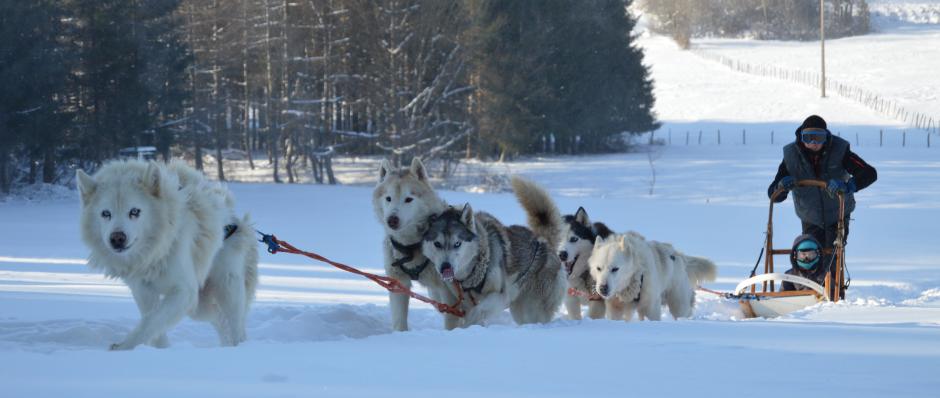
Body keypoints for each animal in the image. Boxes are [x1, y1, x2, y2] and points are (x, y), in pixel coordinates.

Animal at [77, 159, 258, 348]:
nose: (117, 238)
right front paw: (161, 350)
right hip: (200, 305)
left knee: (235, 325)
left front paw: (124, 347)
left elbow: (152, 322)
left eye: (134, 211)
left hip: (226, 288)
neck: (154, 253)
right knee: (220, 320)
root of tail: (236, 219)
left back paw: (238, 346)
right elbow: (153, 325)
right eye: (106, 213)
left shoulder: (184, 291)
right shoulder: (144, 292)